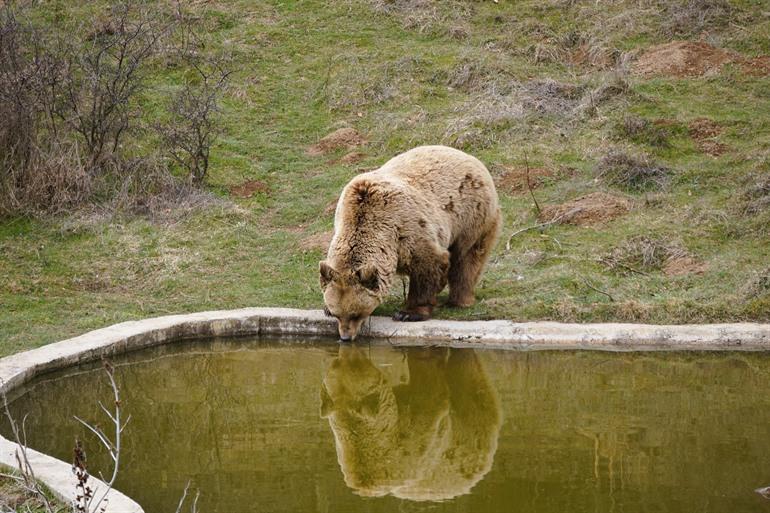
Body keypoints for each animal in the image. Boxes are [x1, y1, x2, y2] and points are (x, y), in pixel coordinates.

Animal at [319, 145, 501, 341]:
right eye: (337, 314)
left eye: (356, 314)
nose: (345, 337)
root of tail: (469, 157)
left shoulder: (406, 228)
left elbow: (428, 266)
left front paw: (408, 313)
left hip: (471, 214)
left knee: (467, 258)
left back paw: (459, 300)